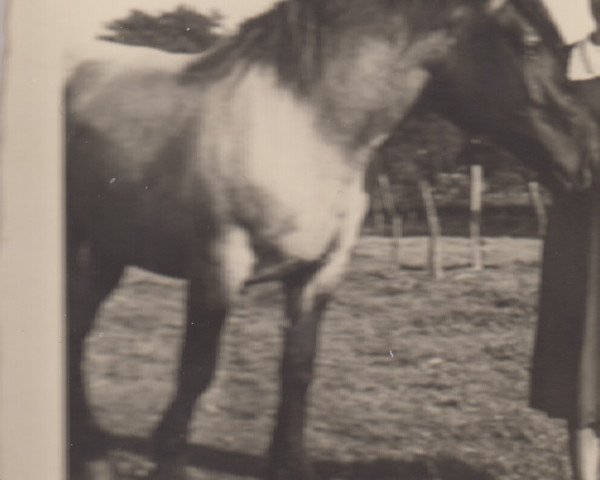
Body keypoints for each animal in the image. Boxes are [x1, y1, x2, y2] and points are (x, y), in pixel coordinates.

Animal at [65, 0, 600, 480]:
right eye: (527, 41)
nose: (591, 159)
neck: (304, 129)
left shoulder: (320, 271)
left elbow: (298, 369)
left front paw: (290, 464)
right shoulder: (218, 268)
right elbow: (195, 372)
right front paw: (169, 462)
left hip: (105, 251)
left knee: (76, 332)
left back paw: (91, 453)